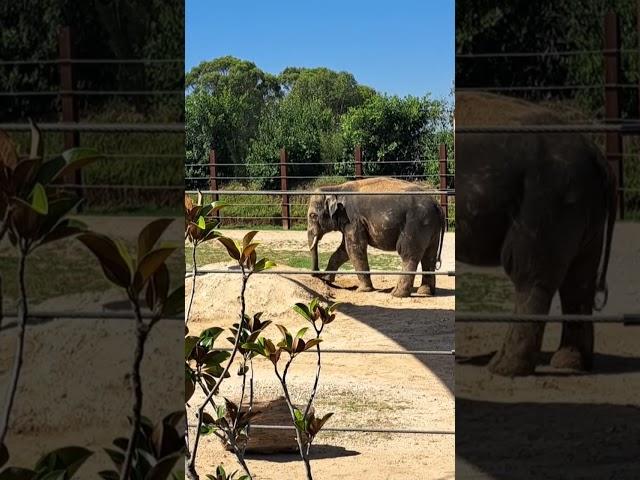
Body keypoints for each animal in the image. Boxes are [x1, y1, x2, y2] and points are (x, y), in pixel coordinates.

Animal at [308, 176, 442, 296]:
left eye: (313, 216)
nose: (316, 274)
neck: (336, 188)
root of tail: (437, 204)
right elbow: (343, 250)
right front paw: (326, 279)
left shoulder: (353, 219)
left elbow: (354, 249)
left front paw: (363, 290)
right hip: (431, 228)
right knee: (429, 256)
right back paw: (425, 292)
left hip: (416, 224)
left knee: (408, 253)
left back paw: (397, 294)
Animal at [456, 92, 616, 376]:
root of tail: (594, 151)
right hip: (584, 209)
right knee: (578, 280)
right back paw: (570, 364)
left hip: (547, 200)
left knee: (528, 272)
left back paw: (503, 368)